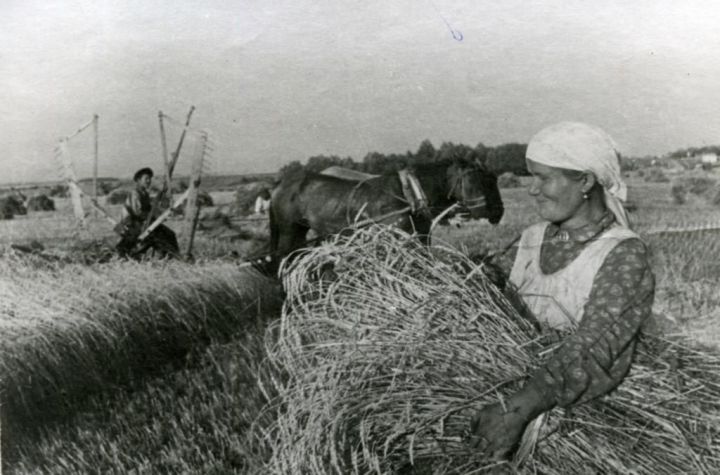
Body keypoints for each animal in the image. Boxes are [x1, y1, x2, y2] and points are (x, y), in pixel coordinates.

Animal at [262, 160, 500, 274]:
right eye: (474, 181)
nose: (495, 212)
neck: (409, 194)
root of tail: (280, 183)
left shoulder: (420, 239)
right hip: (288, 231)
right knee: (285, 259)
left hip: (300, 232)